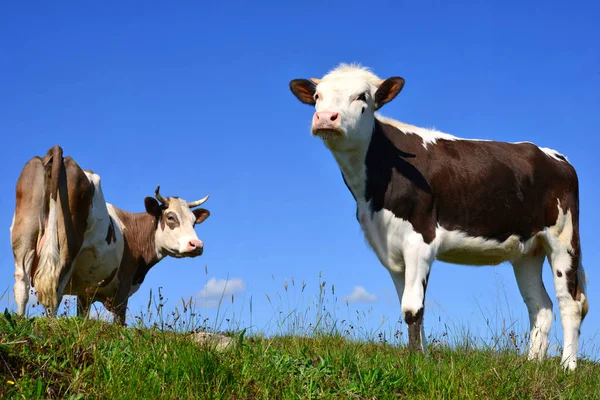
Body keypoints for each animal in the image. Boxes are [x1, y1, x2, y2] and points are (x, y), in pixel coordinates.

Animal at [9, 147, 212, 324]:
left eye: (194, 221)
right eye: (171, 217)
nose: (196, 245)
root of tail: (60, 154)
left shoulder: (85, 293)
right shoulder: (122, 288)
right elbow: (119, 323)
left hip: (25, 236)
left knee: (22, 282)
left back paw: (20, 320)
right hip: (66, 246)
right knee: (54, 288)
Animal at [288, 64, 588, 370]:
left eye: (362, 96)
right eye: (317, 96)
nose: (326, 118)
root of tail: (553, 155)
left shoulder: (421, 239)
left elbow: (412, 307)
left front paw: (414, 363)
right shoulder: (390, 249)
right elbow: (410, 306)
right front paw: (420, 356)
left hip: (564, 238)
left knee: (570, 301)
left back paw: (567, 366)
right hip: (527, 250)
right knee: (540, 305)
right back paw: (531, 364)